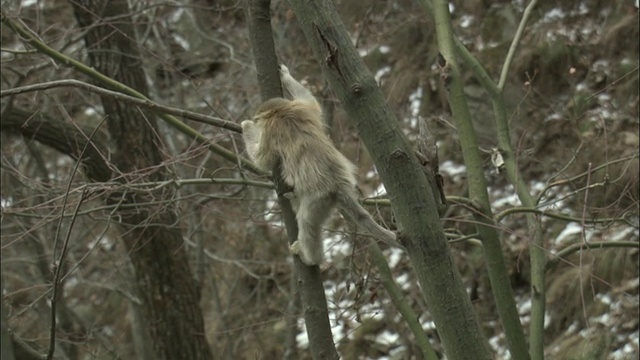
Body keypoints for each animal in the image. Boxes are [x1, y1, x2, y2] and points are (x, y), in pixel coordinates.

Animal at [241, 66, 398, 266]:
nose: (253, 121)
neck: (281, 112)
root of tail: (339, 186)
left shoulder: (270, 131)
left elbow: (262, 161)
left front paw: (246, 126)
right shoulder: (302, 108)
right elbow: (312, 103)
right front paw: (285, 76)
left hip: (318, 199)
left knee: (307, 222)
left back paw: (310, 258)